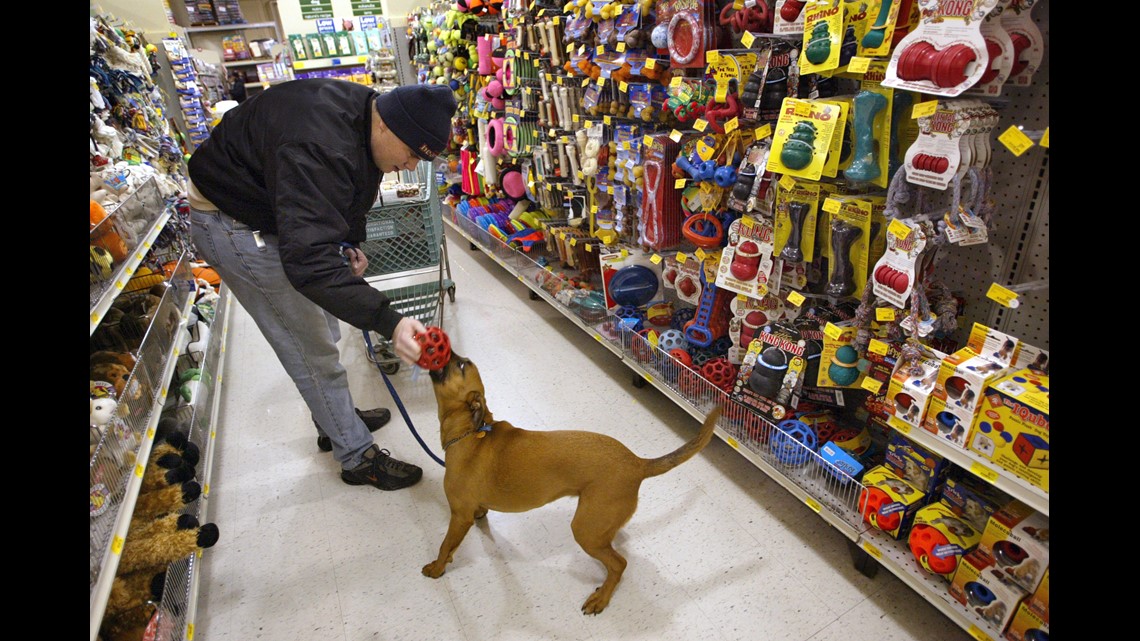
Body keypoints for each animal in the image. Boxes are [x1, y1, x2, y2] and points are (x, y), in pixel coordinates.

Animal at [428, 351, 720, 611]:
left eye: (461, 365)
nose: (433, 341)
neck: (470, 431)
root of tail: (637, 463)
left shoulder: (459, 516)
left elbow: (444, 546)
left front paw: (436, 567)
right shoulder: (468, 511)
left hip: (585, 530)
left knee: (619, 564)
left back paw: (601, 598)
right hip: (597, 526)